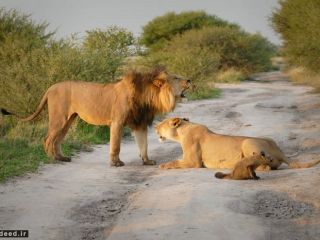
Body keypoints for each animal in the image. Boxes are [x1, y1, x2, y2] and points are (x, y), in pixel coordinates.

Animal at [2, 67, 191, 165]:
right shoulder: (117, 121)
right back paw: (53, 159)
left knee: (57, 140)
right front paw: (116, 163)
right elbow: (116, 145)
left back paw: (62, 158)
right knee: (48, 138)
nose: (189, 80)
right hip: (59, 118)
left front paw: (147, 161)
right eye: (176, 77)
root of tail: (50, 87)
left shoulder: (140, 123)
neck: (148, 96)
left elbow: (143, 145)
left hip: (68, 120)